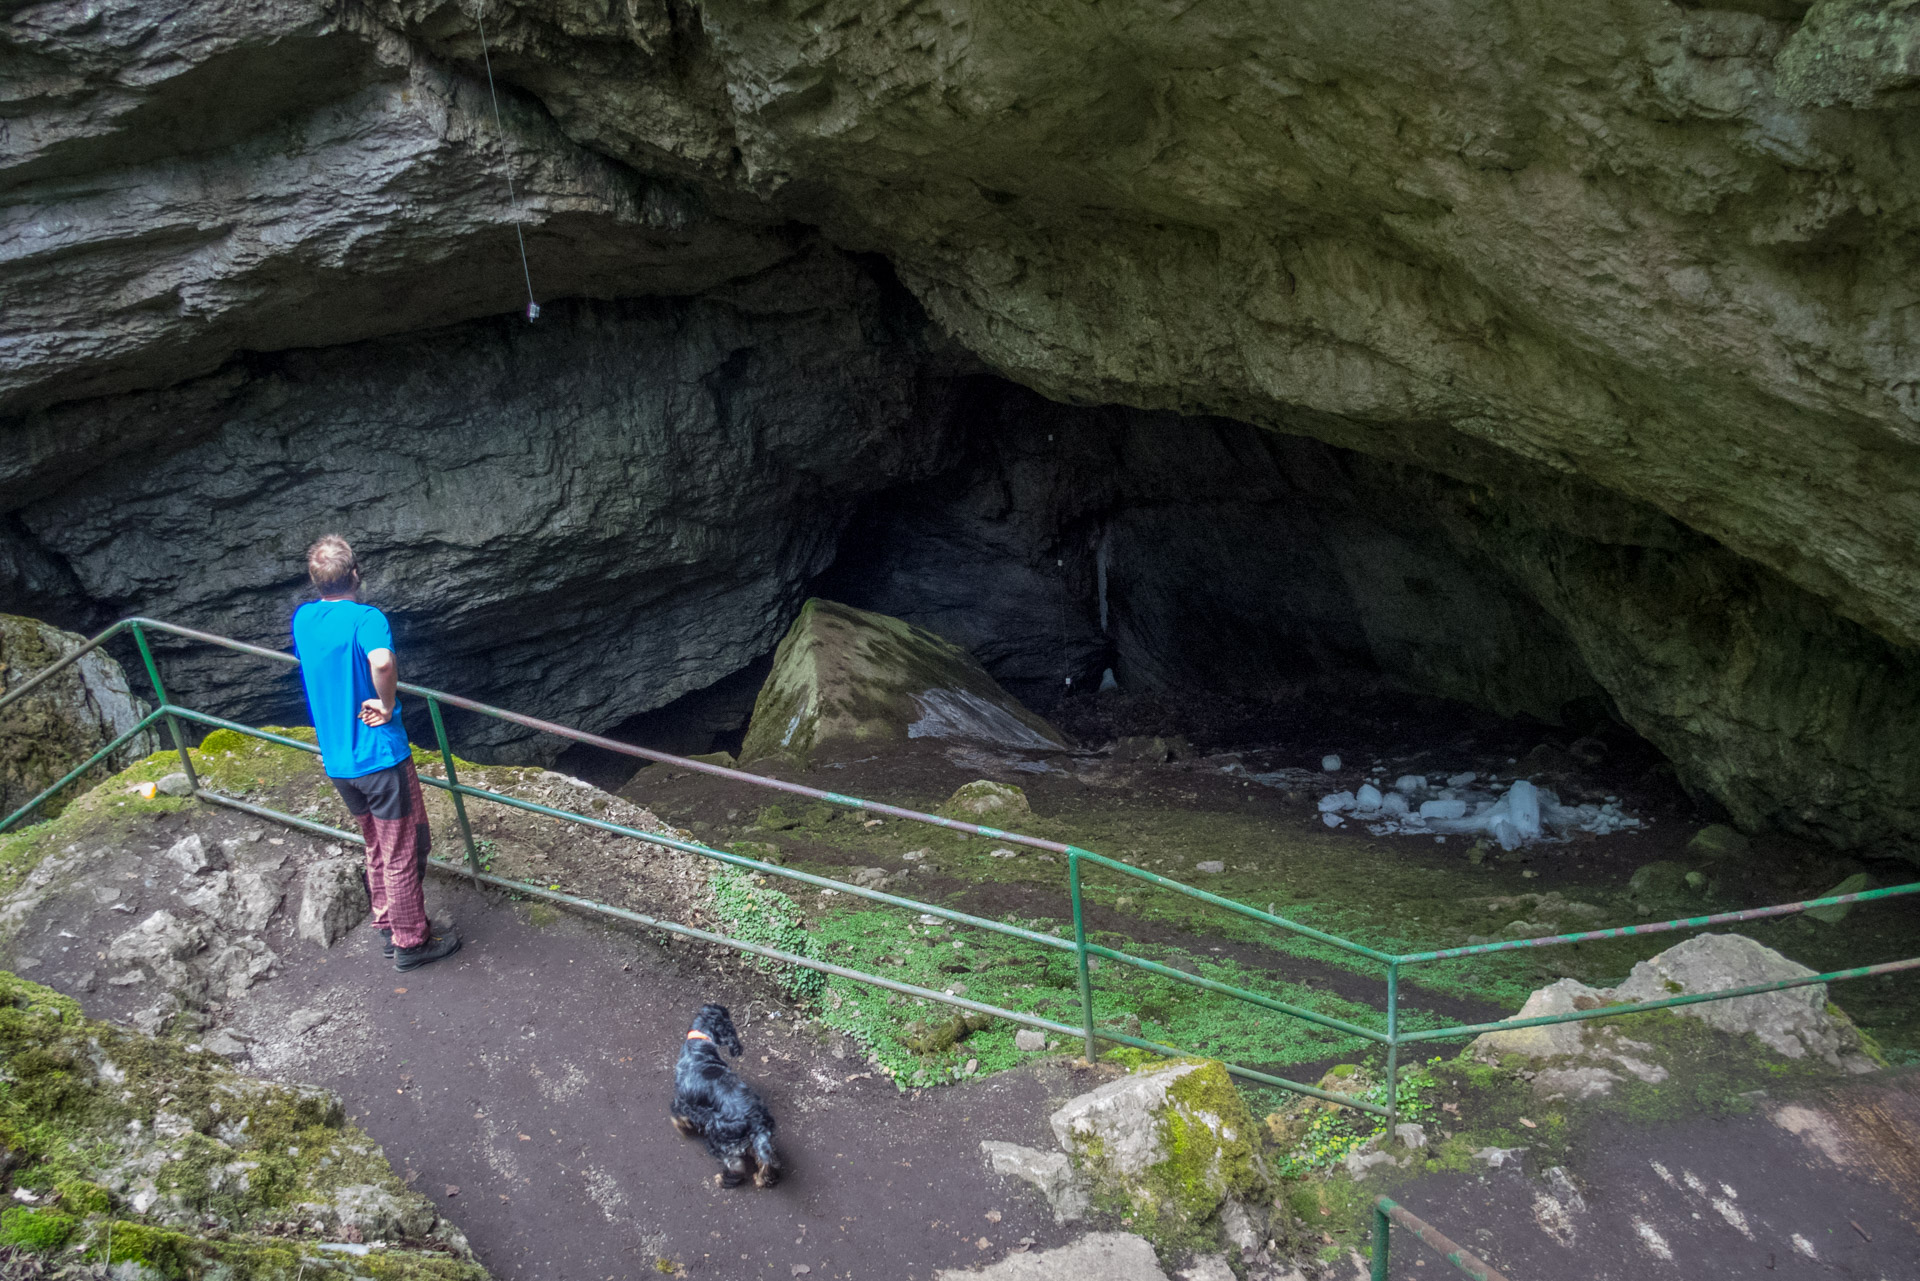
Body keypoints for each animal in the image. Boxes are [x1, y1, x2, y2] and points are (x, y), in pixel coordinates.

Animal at [664, 998, 775, 1190]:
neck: (701, 1046)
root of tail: (756, 1121)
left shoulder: (683, 1101)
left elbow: (677, 1115)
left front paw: (681, 1127)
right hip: (758, 1141)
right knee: (765, 1160)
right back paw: (762, 1179)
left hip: (718, 1137)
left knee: (736, 1166)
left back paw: (722, 1180)